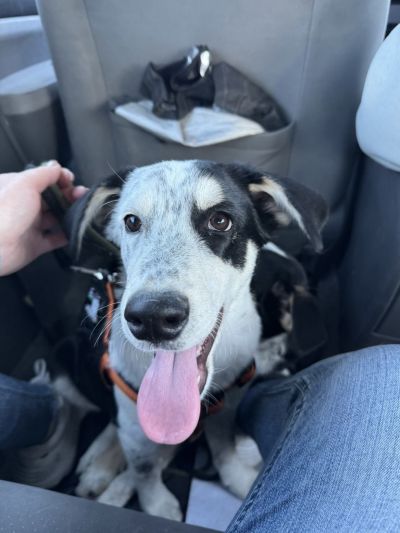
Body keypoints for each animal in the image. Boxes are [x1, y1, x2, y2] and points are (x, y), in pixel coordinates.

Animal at [67, 160, 327, 520]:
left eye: (220, 220)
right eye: (131, 221)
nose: (152, 318)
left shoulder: (229, 401)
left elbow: (224, 447)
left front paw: (237, 476)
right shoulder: (137, 422)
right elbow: (144, 467)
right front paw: (155, 504)